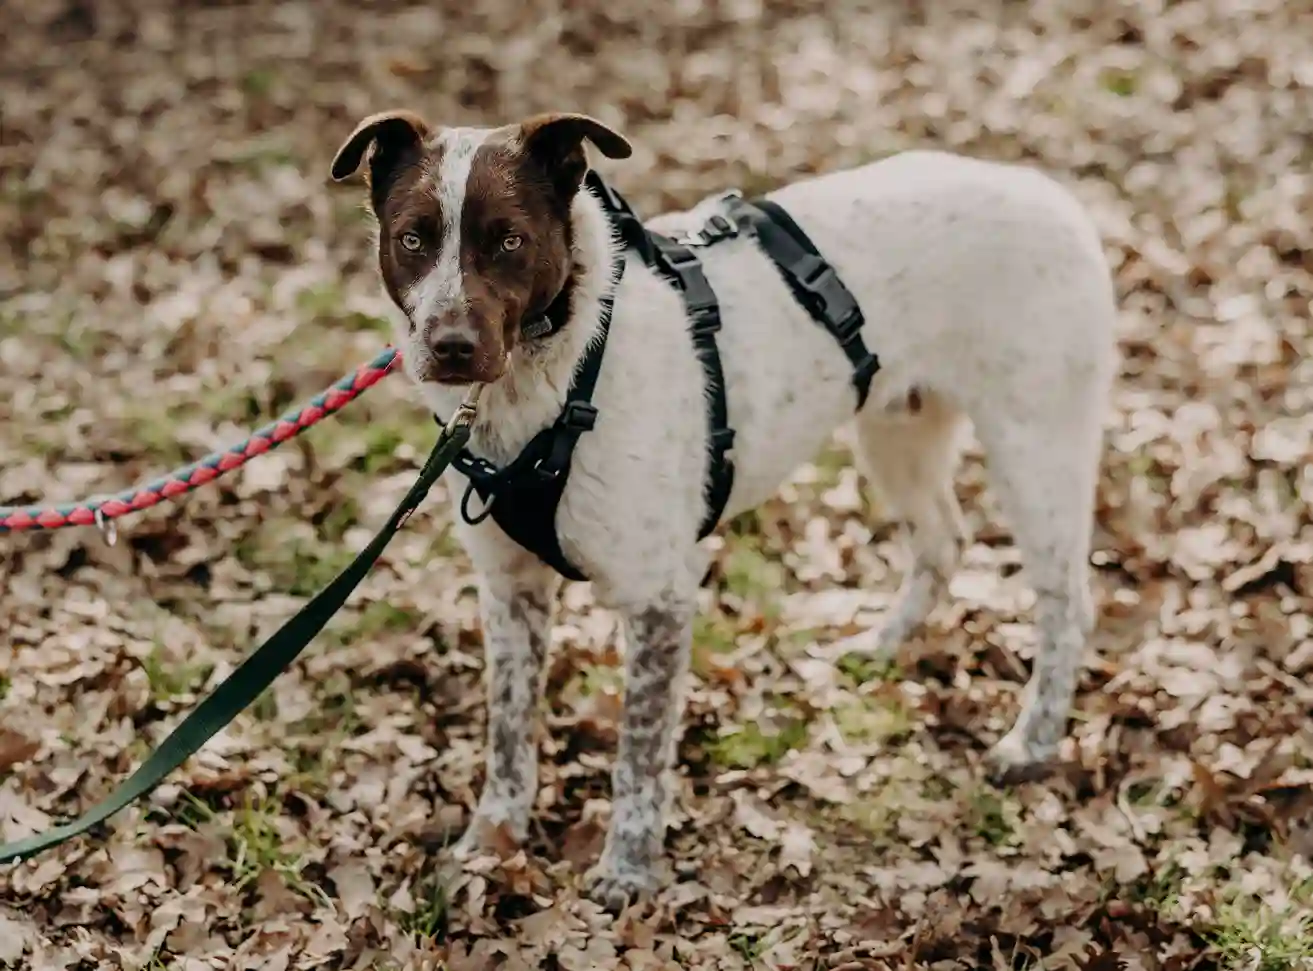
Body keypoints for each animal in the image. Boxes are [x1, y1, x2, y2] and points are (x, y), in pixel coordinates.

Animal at [329, 109, 1118, 909]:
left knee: (1067, 605)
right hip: (897, 430)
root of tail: (1046, 191)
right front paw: (491, 842)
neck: (557, 380)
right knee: (943, 542)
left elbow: (640, 754)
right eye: (413, 239)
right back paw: (878, 645)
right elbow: (509, 731)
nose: (450, 347)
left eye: (510, 239)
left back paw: (1031, 741)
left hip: (1035, 447)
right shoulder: (510, 589)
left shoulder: (659, 596)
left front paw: (627, 870)